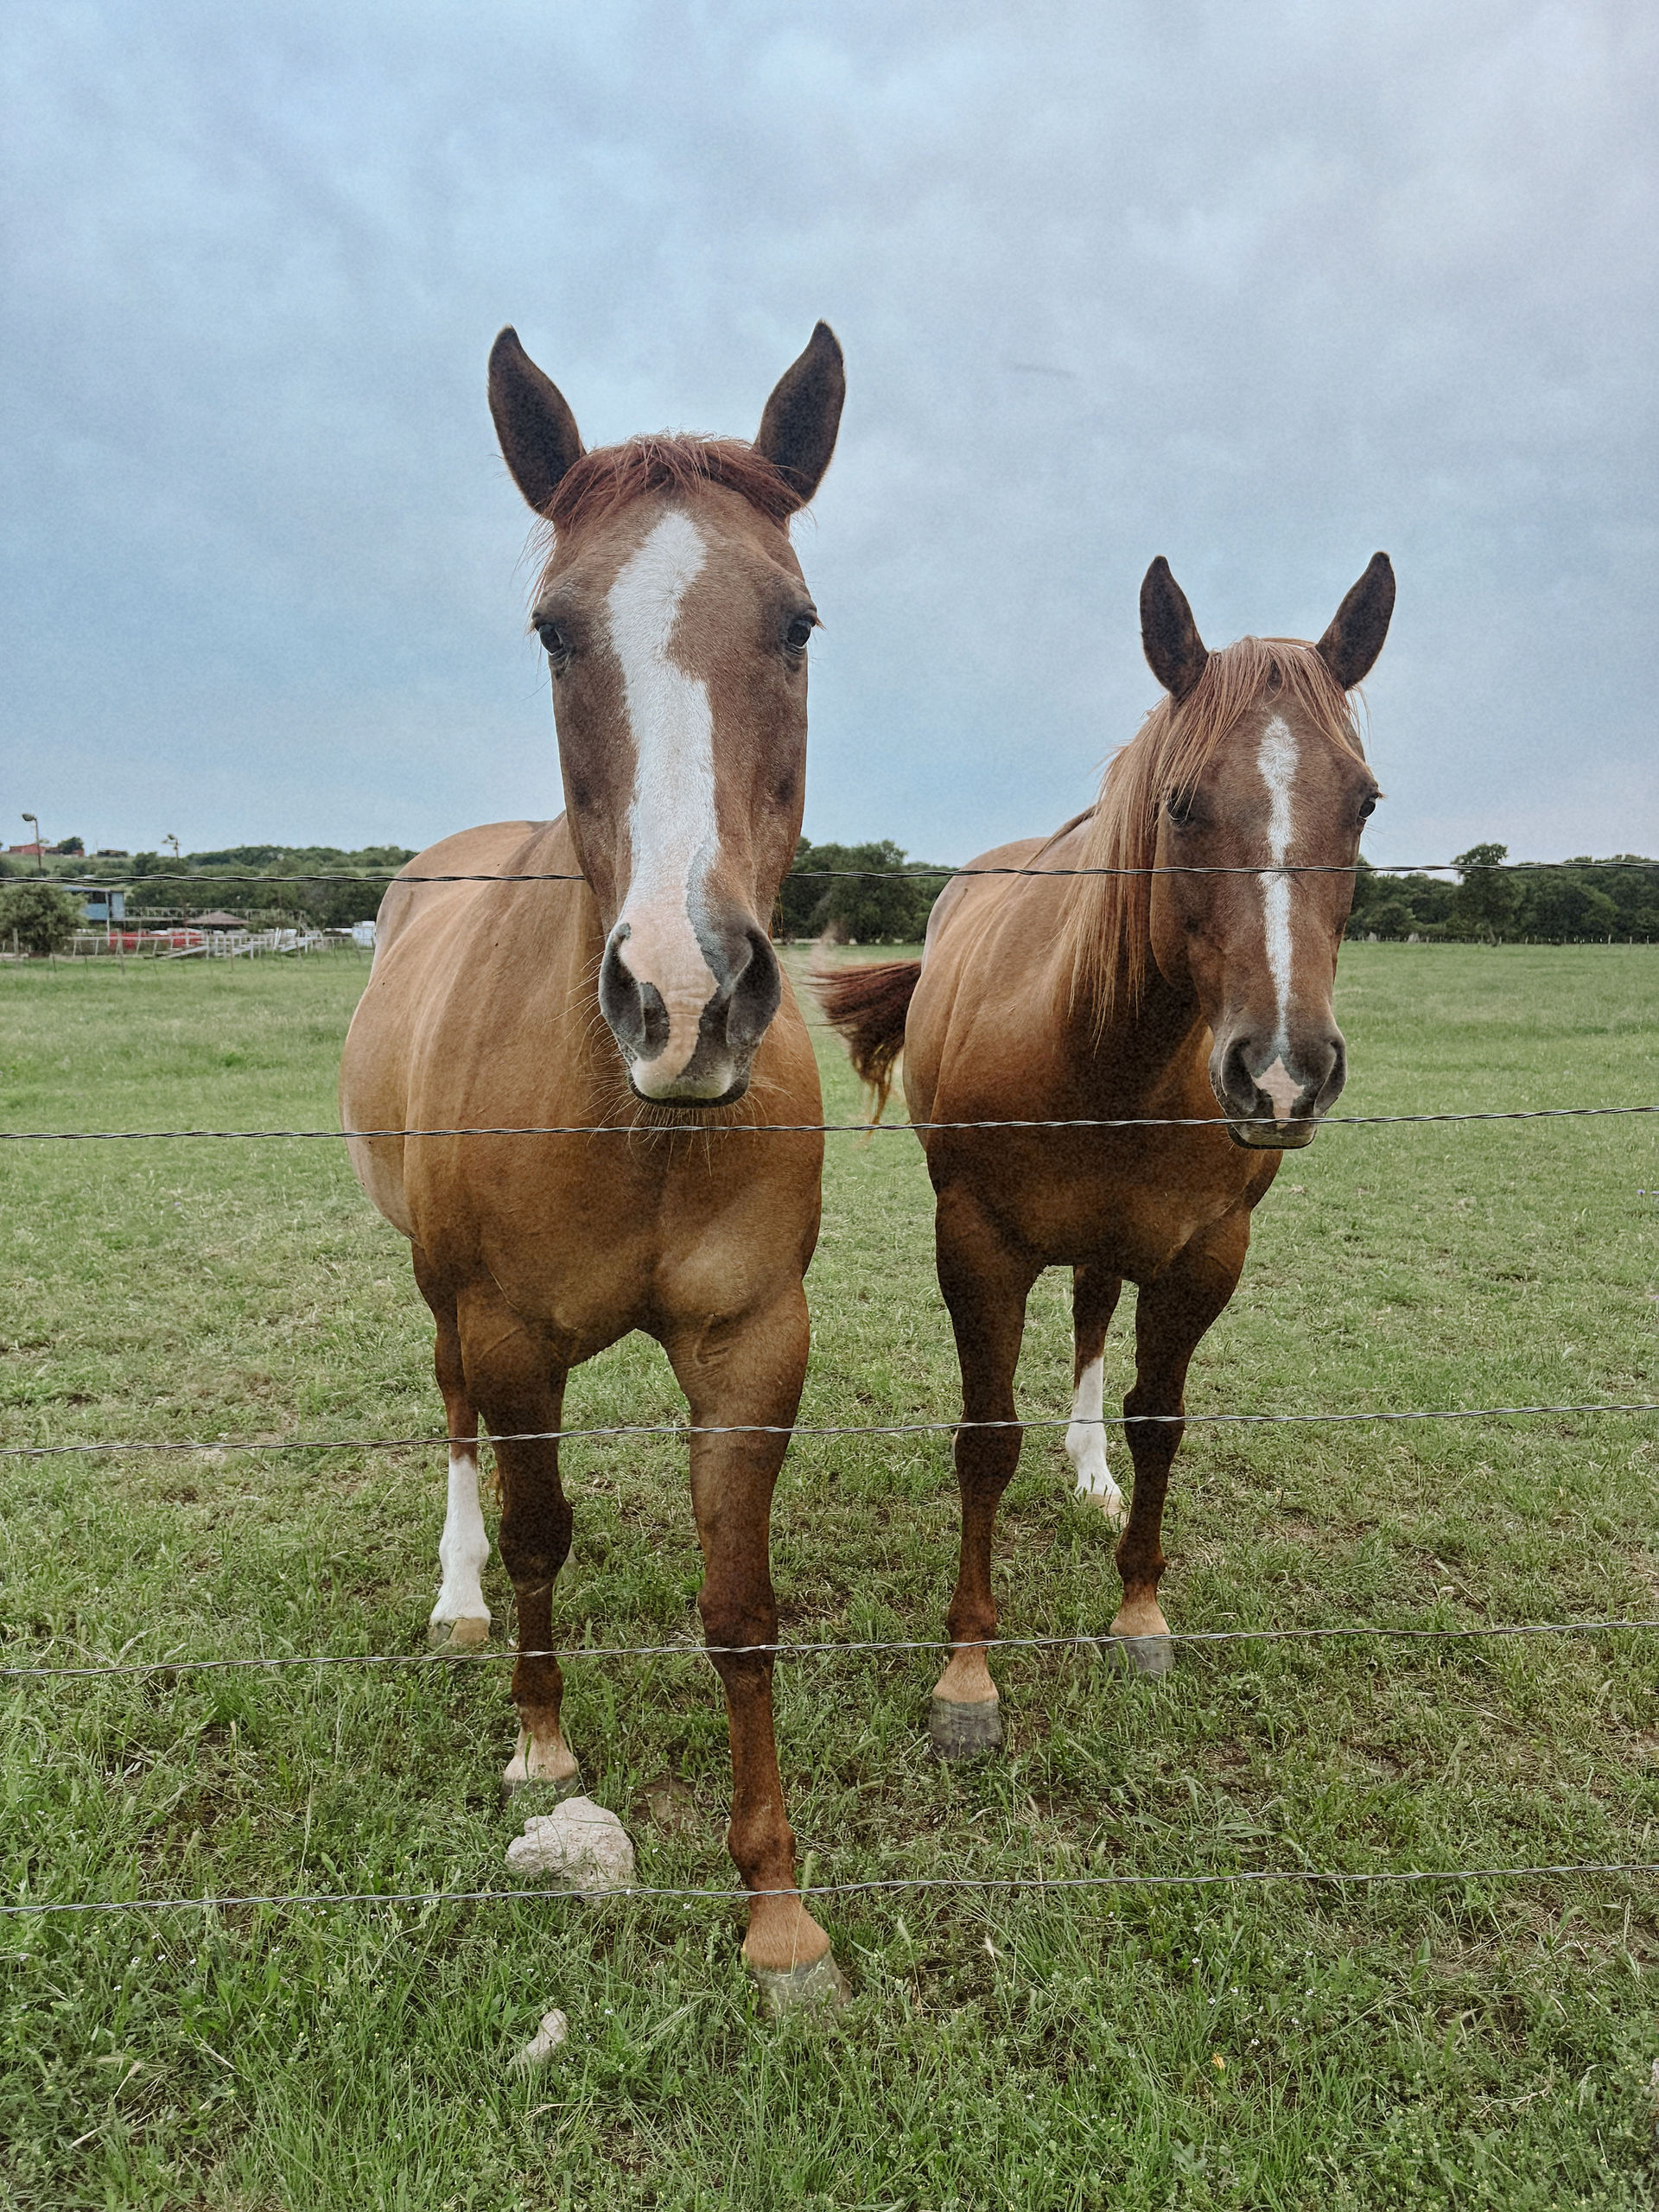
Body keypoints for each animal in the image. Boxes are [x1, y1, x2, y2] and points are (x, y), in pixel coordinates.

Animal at [339, 320, 848, 2007]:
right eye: (556, 633)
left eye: (797, 624)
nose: (685, 995)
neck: (640, 1119)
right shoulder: (512, 1335)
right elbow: (540, 1530)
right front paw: (542, 1743)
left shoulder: (754, 1344)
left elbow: (740, 1608)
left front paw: (777, 1908)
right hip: (437, 1294)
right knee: (450, 1426)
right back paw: (455, 1604)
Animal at [818, 552, 1393, 1759]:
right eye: (1180, 801)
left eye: (1363, 802)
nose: (1282, 1073)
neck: (1107, 1047)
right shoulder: (977, 1244)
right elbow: (985, 1440)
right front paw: (967, 1676)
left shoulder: (1207, 1252)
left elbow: (1160, 1418)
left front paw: (1139, 1612)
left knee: (1090, 1317)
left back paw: (1090, 1470)